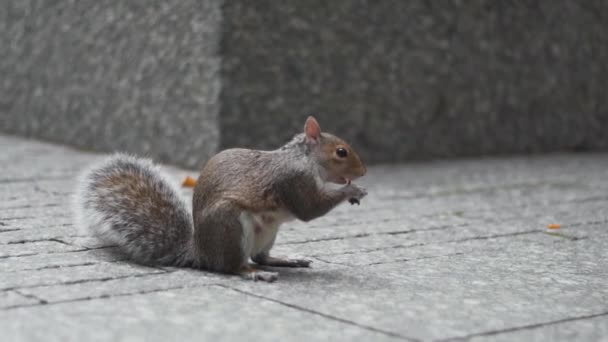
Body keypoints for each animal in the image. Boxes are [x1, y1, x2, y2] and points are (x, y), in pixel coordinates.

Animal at [71, 116, 366, 282]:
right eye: (341, 152)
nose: (363, 172)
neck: (304, 159)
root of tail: (201, 252)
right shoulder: (293, 181)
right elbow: (309, 209)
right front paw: (352, 191)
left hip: (267, 232)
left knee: (260, 256)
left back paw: (285, 260)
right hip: (231, 226)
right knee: (232, 267)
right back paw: (254, 273)